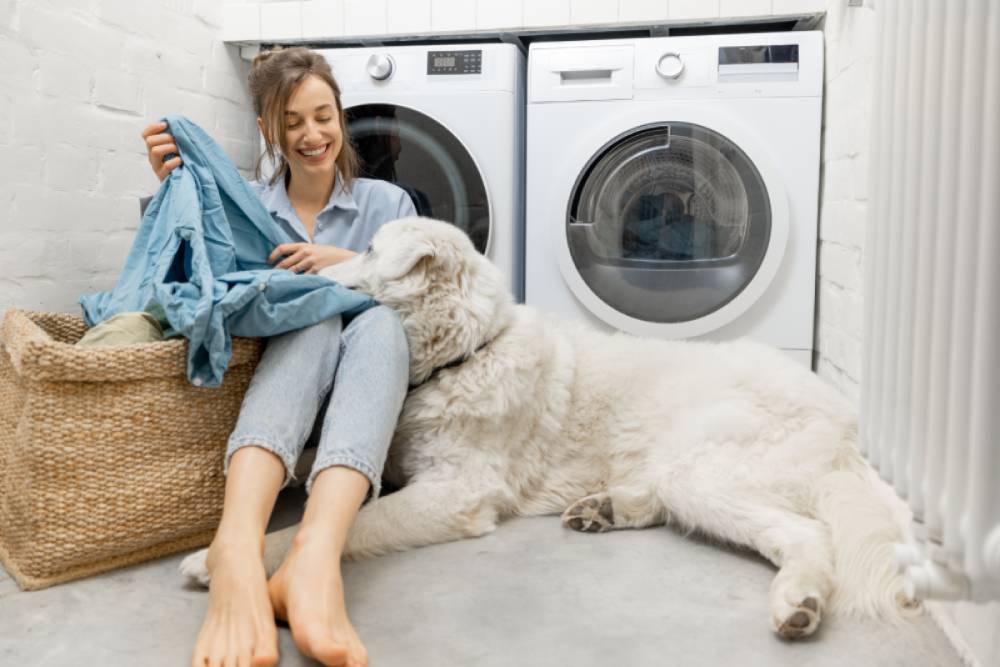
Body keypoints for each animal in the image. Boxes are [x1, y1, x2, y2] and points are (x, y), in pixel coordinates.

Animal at [184, 217, 916, 640]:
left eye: (367, 248)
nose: (292, 268)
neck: (465, 353)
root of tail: (845, 428)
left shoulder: (455, 493)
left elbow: (344, 523)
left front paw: (214, 560)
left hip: (703, 468)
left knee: (805, 534)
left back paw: (800, 602)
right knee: (661, 502)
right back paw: (602, 509)